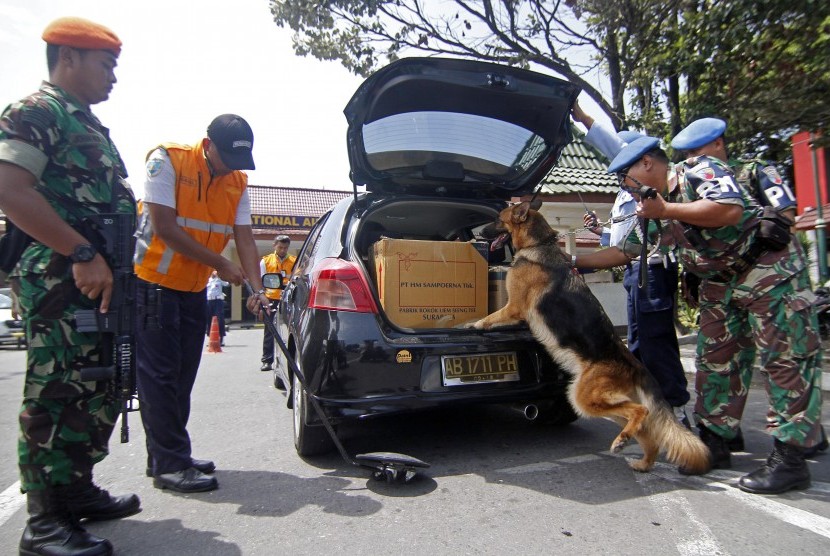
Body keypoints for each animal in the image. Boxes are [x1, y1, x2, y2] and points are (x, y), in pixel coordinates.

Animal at [472, 201, 712, 474]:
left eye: (498, 220)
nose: (477, 233)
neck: (538, 244)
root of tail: (635, 366)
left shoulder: (514, 308)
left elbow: (491, 316)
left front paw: (475, 323)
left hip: (584, 398)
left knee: (640, 411)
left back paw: (625, 442)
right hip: (601, 403)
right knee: (647, 432)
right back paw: (639, 458)